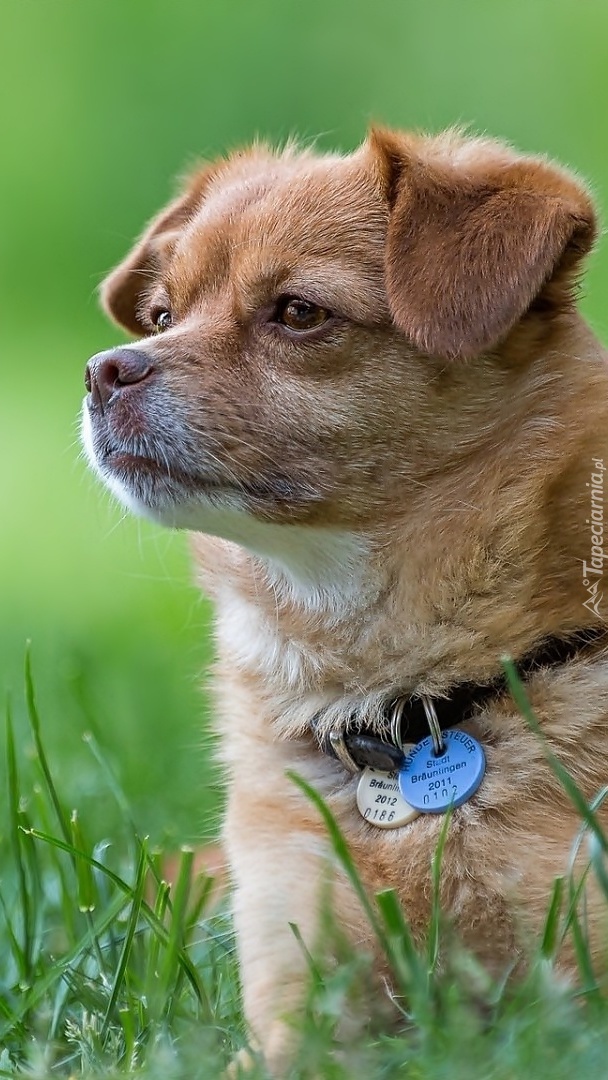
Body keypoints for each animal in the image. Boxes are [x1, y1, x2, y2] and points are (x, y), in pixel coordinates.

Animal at [83, 127, 608, 1072]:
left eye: (299, 313)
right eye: (162, 317)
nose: (105, 370)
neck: (396, 712)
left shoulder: (579, 992)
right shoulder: (295, 1001)